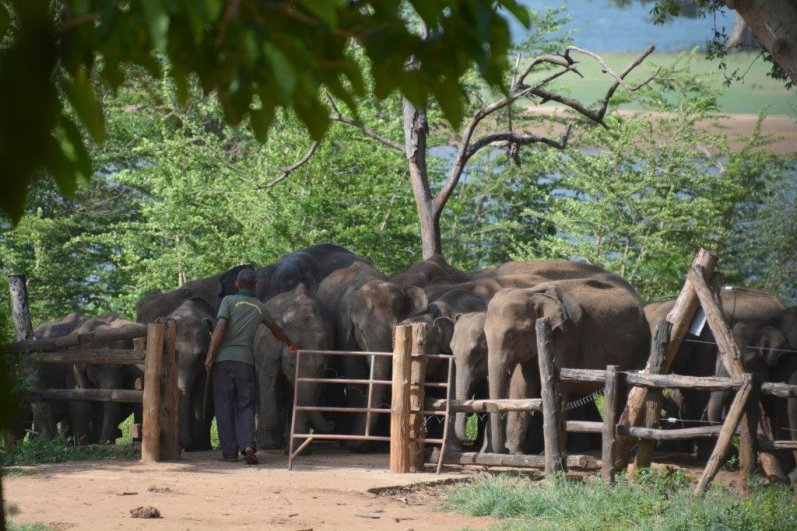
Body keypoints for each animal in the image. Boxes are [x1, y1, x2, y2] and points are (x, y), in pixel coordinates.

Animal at [253, 284, 335, 449]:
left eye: (321, 367)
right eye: (291, 365)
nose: (332, 423)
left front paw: (297, 448)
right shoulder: (268, 347)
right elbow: (267, 381)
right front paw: (271, 444)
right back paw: (268, 443)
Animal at [317, 261, 428, 451]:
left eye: (395, 329)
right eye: (361, 332)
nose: (355, 443)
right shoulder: (345, 328)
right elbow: (355, 371)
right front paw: (354, 443)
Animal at [486, 277, 650, 454]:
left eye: (511, 336)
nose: (503, 449)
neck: (532, 292)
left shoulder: (566, 336)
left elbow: (558, 384)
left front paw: (550, 454)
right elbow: (521, 384)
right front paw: (516, 453)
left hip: (641, 346)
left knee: (628, 389)